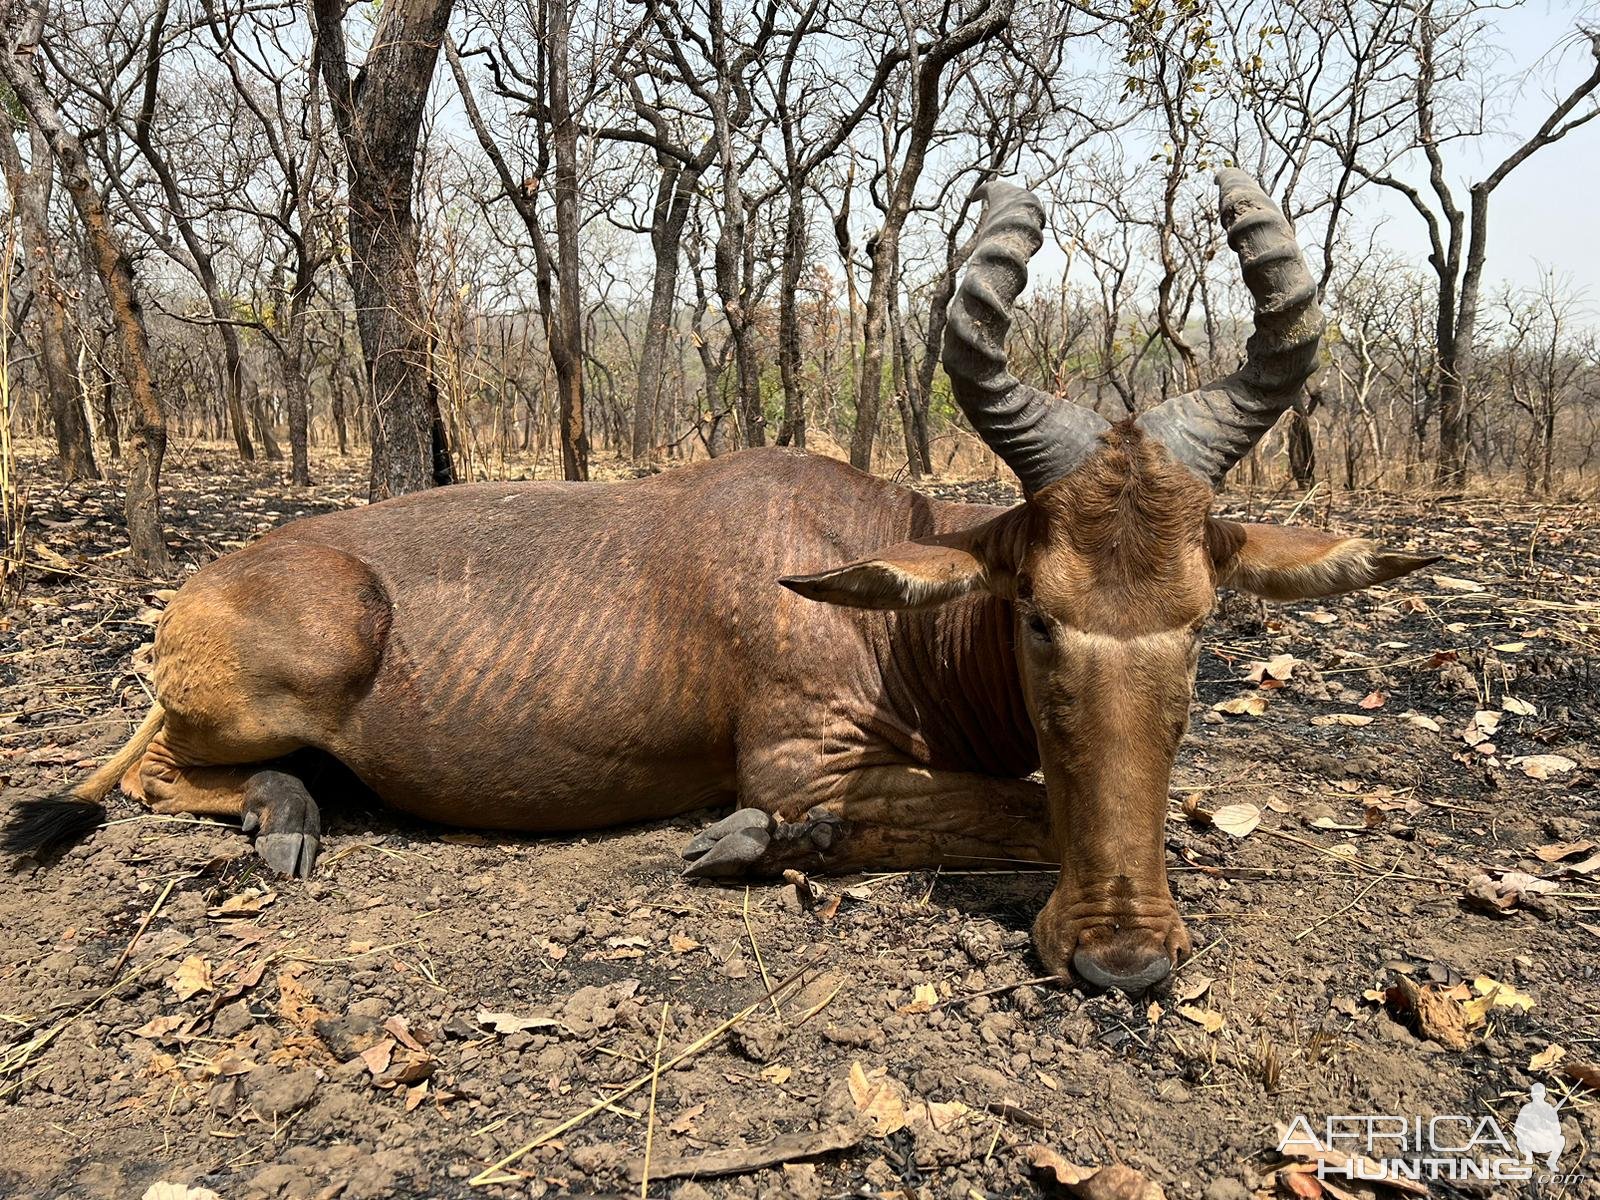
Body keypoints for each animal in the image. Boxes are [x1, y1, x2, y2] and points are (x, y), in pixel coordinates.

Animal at [9, 171, 1440, 998]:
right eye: (1036, 615)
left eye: (1201, 625)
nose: (1125, 961)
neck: (890, 601)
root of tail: (194, 597)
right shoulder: (800, 759)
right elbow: (1015, 805)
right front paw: (751, 844)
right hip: (294, 664)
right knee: (147, 777)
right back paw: (285, 819)